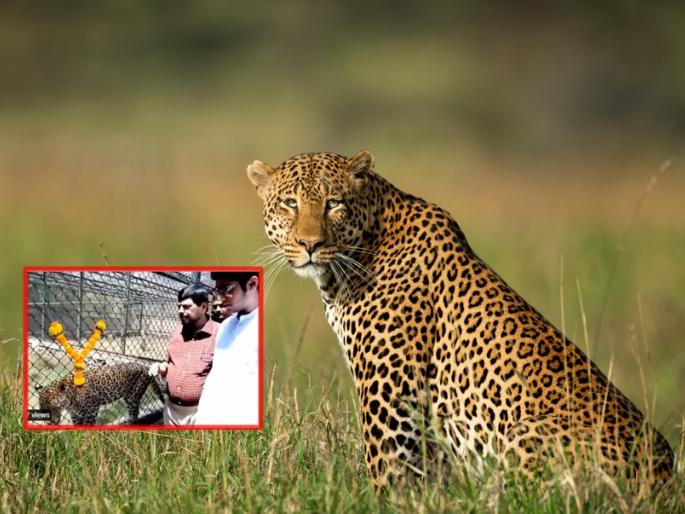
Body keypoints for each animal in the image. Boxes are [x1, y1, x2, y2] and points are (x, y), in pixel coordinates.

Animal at [37, 362, 165, 425]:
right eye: (42, 407)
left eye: (54, 406)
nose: (49, 422)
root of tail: (145, 366)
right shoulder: (75, 414)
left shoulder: (91, 410)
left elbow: (88, 425)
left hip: (133, 397)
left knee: (134, 412)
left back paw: (130, 423)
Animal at [247, 150, 674, 486]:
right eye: (290, 203)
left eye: (334, 203)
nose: (310, 244)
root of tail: (663, 477)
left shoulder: (391, 394)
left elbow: (387, 471)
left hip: (525, 434)